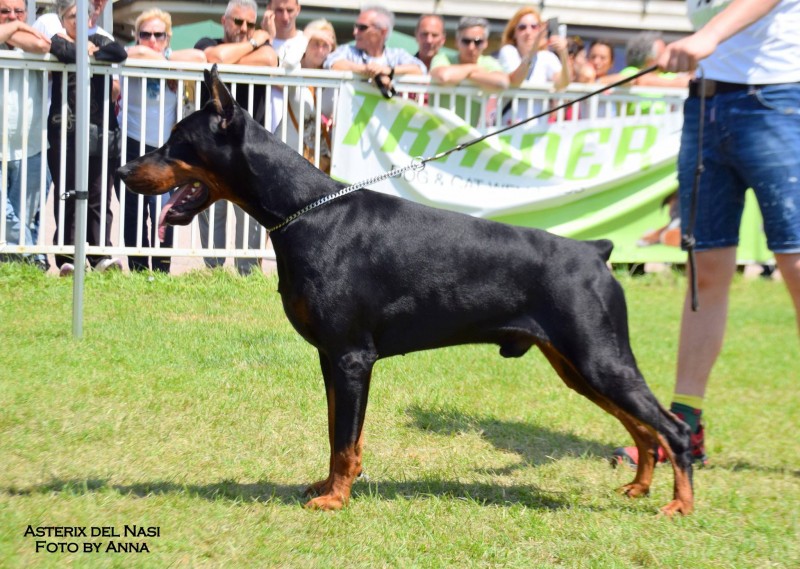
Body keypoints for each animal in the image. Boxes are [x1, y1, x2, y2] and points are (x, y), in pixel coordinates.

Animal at [117, 66, 692, 516]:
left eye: (177, 141)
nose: (122, 170)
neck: (305, 212)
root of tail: (595, 250)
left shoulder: (352, 357)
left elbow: (344, 439)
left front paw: (335, 499)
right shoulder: (331, 357)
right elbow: (336, 431)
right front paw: (331, 485)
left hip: (598, 357)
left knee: (672, 429)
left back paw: (679, 505)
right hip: (577, 365)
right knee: (645, 431)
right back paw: (638, 488)